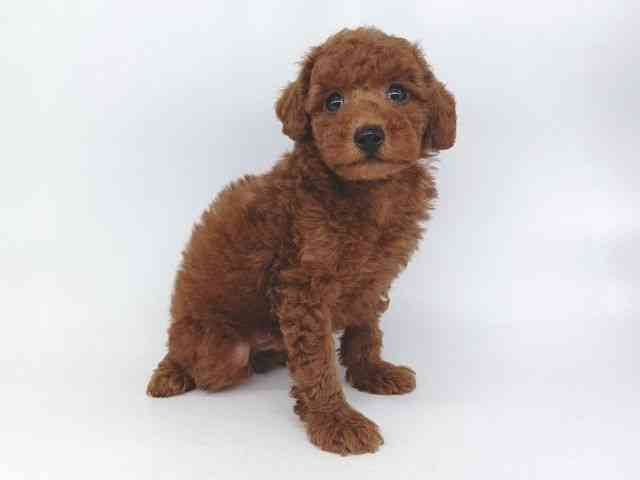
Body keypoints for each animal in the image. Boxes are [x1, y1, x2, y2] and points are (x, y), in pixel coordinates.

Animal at [147, 27, 456, 455]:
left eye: (398, 93)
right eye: (333, 101)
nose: (369, 134)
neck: (367, 193)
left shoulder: (373, 278)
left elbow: (366, 331)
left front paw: (372, 372)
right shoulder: (302, 287)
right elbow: (317, 361)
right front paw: (335, 421)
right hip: (218, 349)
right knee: (187, 358)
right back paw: (171, 374)